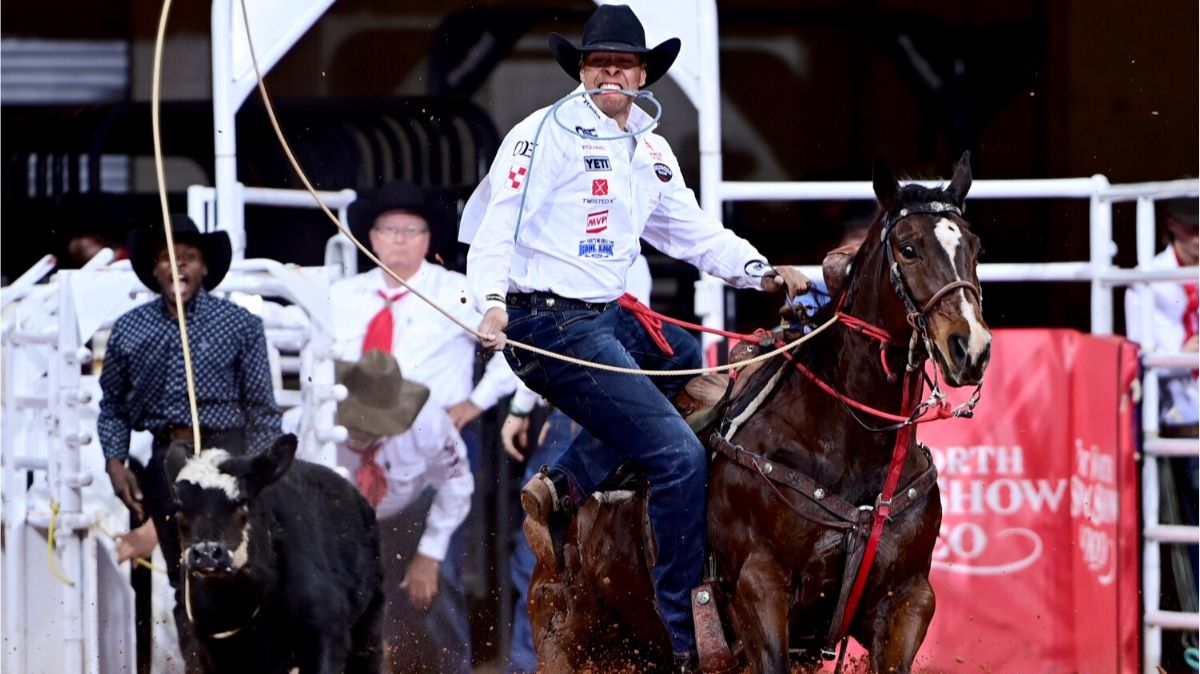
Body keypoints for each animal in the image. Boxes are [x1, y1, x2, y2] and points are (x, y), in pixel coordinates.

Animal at [530, 153, 988, 671]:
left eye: (975, 247)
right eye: (908, 248)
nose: (971, 346)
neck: (850, 446)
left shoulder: (908, 599)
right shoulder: (759, 590)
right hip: (563, 633)